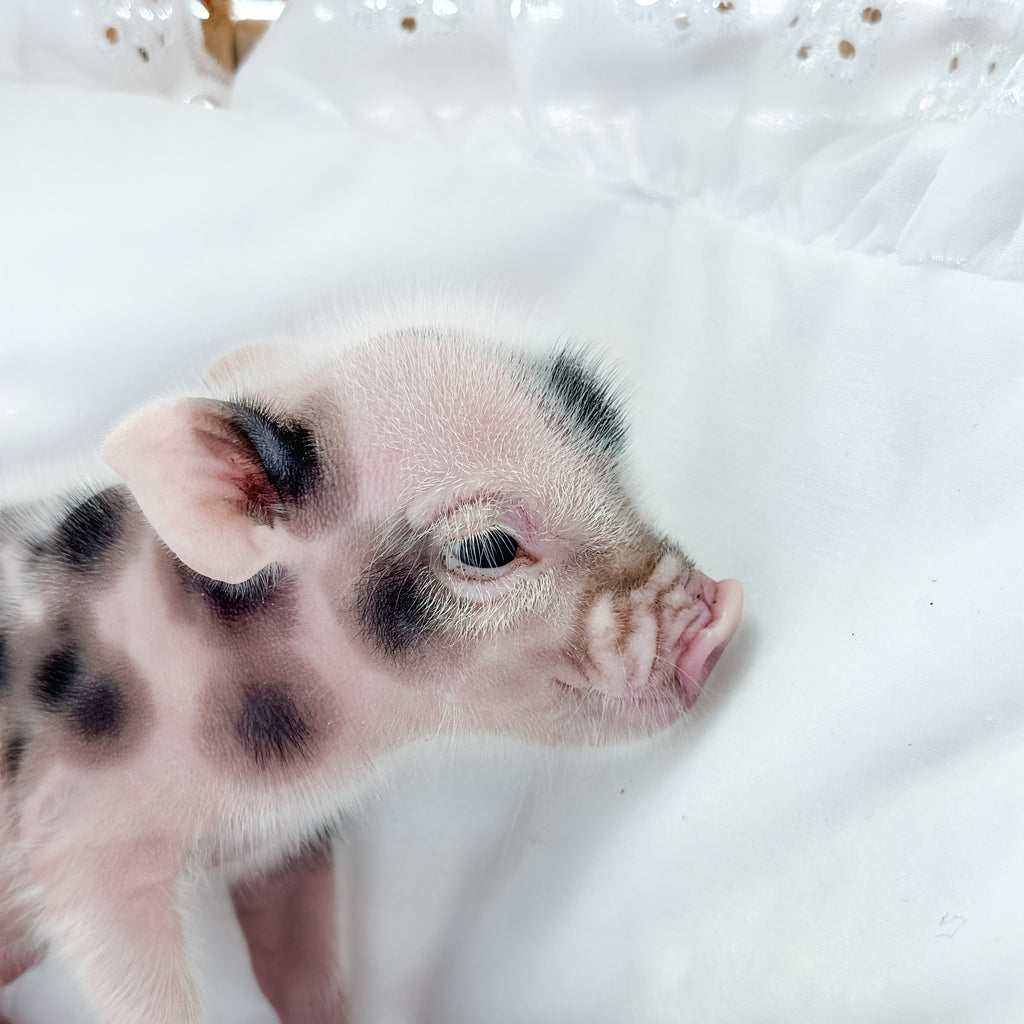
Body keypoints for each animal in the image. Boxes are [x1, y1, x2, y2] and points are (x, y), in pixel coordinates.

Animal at [0, 315, 742, 1024]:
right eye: (486, 547)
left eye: (611, 462)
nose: (723, 611)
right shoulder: (81, 850)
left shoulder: (286, 840)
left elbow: (302, 968)